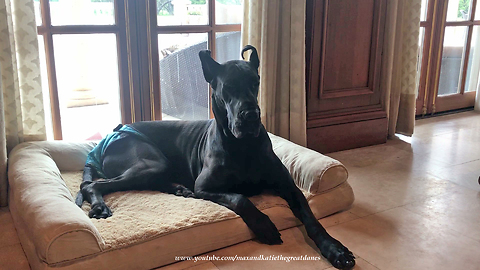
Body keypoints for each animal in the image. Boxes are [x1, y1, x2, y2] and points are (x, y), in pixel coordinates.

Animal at [76, 45, 356, 268]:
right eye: (229, 87)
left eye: (256, 82)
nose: (251, 116)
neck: (243, 146)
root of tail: (105, 139)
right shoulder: (205, 186)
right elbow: (241, 198)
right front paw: (264, 225)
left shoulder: (289, 186)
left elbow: (311, 217)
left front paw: (335, 249)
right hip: (151, 162)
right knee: (92, 185)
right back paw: (100, 206)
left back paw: (179, 189)